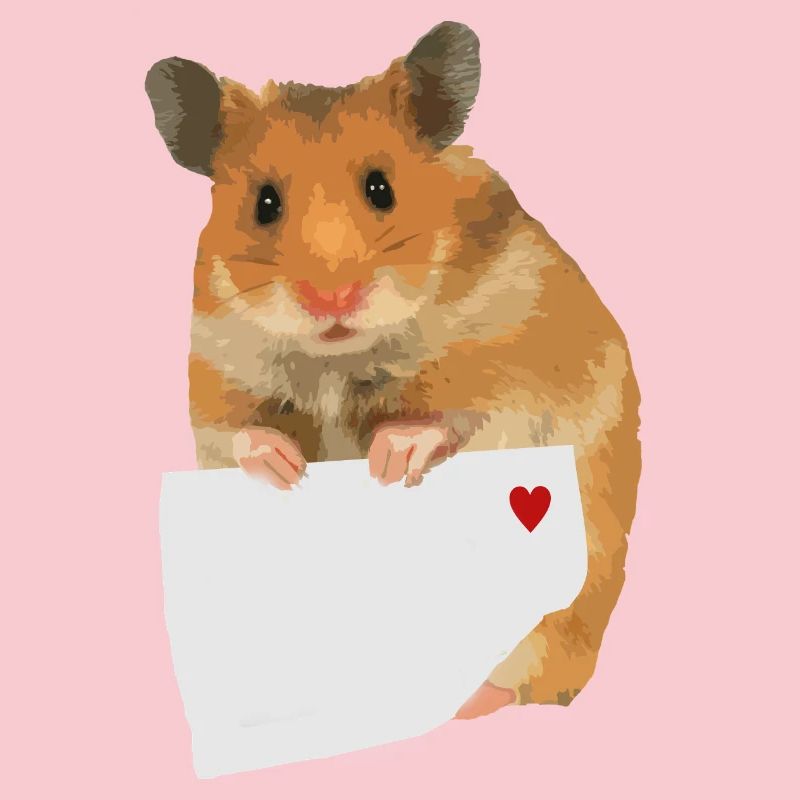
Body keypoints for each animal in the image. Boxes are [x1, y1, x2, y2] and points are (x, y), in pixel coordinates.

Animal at [145, 21, 642, 718]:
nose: (331, 299)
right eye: (264, 203)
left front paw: (387, 458)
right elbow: (240, 434)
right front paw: (288, 469)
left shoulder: (521, 370)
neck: (339, 357)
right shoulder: (214, 375)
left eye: (382, 188)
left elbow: (458, 419)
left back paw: (470, 702)